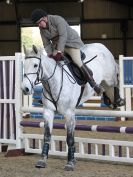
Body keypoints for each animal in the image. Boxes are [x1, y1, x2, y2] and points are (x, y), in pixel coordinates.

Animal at [21, 42, 123, 170]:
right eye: (24, 65)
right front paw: (42, 160)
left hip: (109, 77)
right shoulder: (48, 112)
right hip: (105, 83)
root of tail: (100, 45)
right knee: (108, 90)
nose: (25, 88)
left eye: (35, 65)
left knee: (115, 83)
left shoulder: (69, 113)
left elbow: (69, 139)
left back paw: (118, 100)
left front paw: (70, 163)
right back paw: (110, 101)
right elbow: (47, 136)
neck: (54, 82)